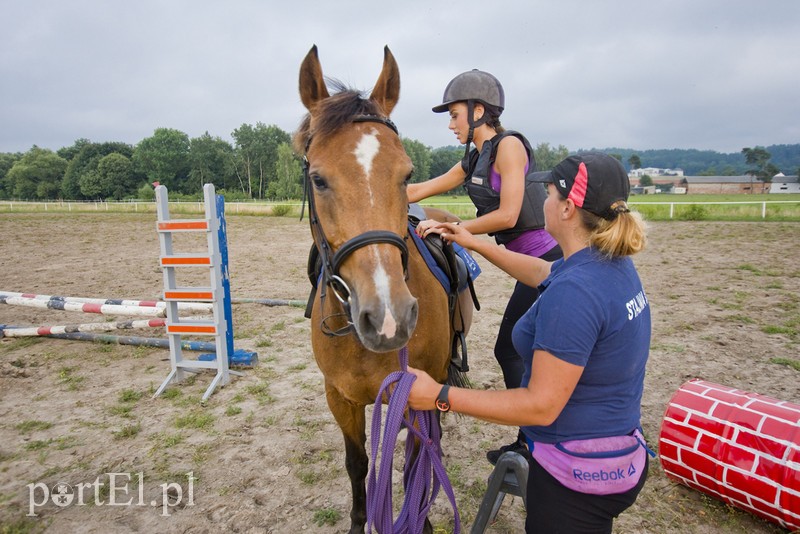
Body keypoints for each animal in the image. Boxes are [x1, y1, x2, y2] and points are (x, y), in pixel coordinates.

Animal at [292, 47, 468, 534]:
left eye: (407, 174)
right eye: (318, 179)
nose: (389, 317)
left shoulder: (416, 394)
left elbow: (414, 468)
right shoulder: (340, 398)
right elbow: (359, 465)